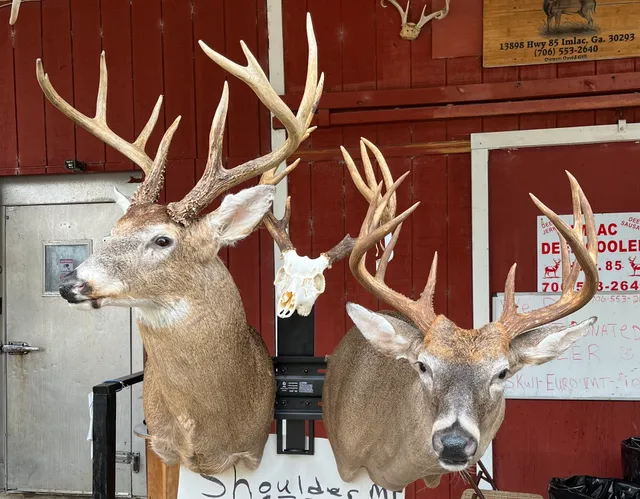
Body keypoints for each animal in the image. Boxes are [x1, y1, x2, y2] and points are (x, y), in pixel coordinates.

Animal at [38, 14, 323, 476]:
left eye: (162, 239)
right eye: (112, 231)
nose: (70, 284)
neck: (208, 431)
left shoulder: (250, 454)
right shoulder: (160, 447)